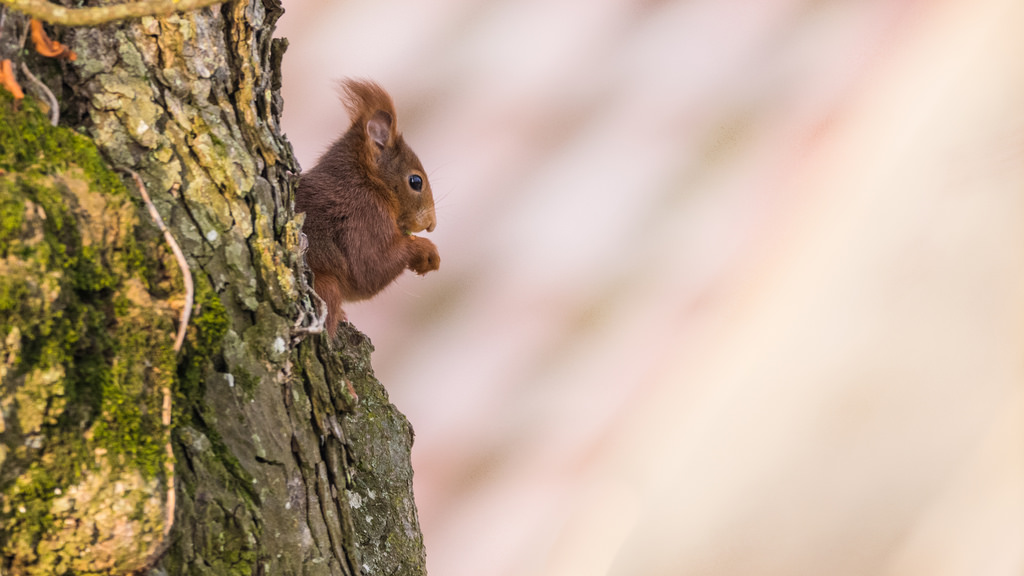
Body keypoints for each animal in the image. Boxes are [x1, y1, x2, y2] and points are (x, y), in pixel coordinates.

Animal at [296, 78, 440, 334]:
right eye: (416, 181)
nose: (431, 224)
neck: (367, 182)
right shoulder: (364, 217)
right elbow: (368, 270)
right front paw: (426, 250)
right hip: (327, 285)